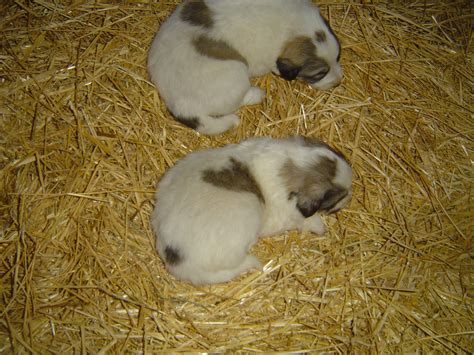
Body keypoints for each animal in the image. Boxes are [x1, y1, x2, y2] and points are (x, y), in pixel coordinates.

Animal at [147, 0, 340, 135]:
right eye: (319, 74)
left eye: (338, 57)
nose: (338, 82)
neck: (292, 26)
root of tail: (182, 106)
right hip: (236, 74)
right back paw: (257, 94)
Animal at [152, 136, 352, 286]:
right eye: (337, 196)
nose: (349, 197)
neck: (292, 162)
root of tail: (176, 258)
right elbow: (302, 220)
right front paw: (318, 225)